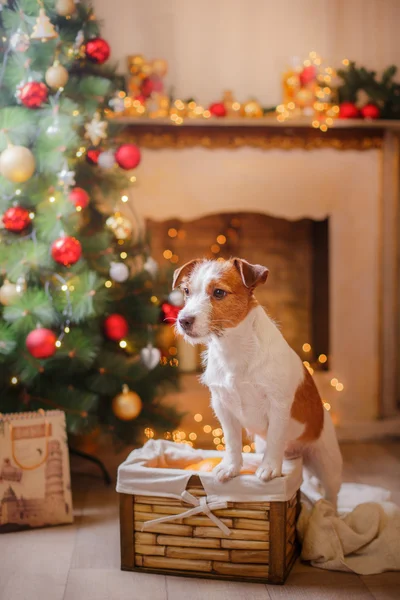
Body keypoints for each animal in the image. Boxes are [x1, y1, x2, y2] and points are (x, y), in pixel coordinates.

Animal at [173, 256, 342, 506]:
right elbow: (232, 440)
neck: (234, 349)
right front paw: (231, 467)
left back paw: (328, 511)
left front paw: (269, 468)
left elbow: (275, 439)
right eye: (186, 291)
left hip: (327, 464)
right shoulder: (222, 406)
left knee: (331, 495)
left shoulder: (278, 405)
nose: (183, 320)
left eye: (219, 292)